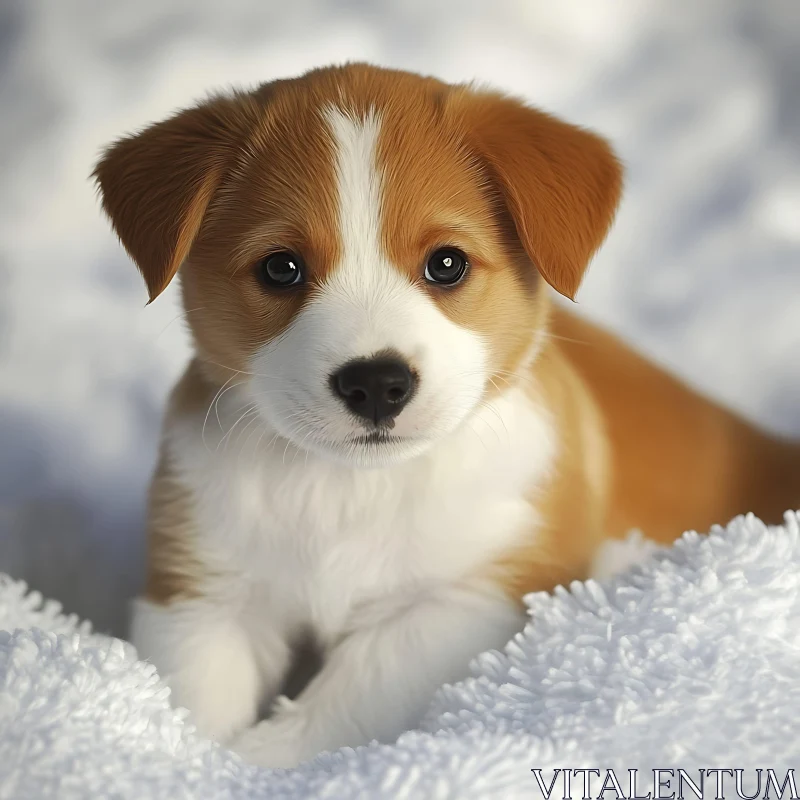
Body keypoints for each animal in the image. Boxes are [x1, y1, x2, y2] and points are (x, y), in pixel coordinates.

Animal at [92, 64, 800, 768]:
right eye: (281, 268)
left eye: (447, 263)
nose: (376, 383)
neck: (348, 489)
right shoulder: (201, 593)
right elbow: (194, 704)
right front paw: (194, 763)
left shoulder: (474, 597)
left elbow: (343, 698)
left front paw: (258, 765)